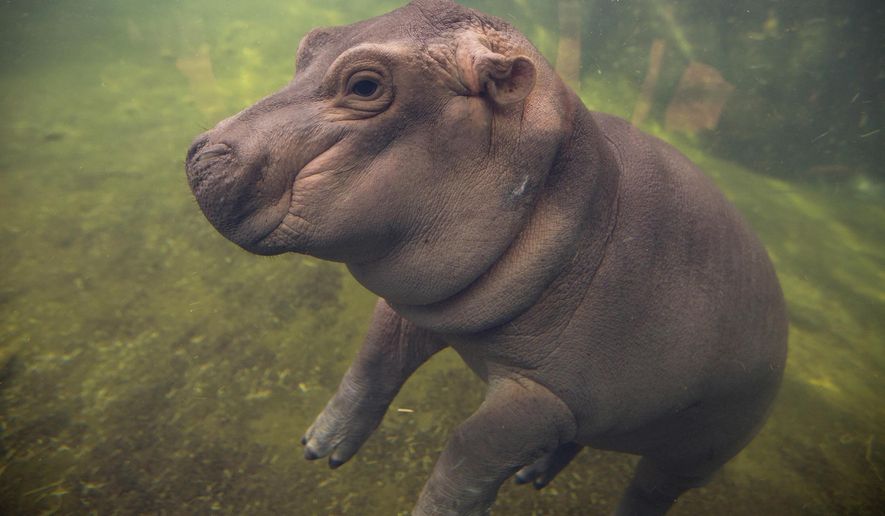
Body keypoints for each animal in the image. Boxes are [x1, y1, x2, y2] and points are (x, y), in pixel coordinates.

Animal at [184, 1, 788, 514]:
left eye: (365, 84)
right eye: (310, 42)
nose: (198, 153)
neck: (578, 199)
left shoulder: (545, 394)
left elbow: (471, 446)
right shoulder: (421, 304)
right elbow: (372, 363)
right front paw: (320, 447)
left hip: (695, 453)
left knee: (649, 492)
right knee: (576, 440)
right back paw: (531, 474)